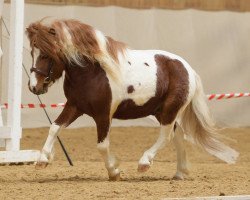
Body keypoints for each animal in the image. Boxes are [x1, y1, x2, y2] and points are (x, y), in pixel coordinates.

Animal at [25, 19, 238, 180]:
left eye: (46, 54)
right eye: (32, 53)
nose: (34, 87)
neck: (92, 72)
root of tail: (187, 68)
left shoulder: (103, 114)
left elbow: (102, 145)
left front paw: (114, 171)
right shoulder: (74, 107)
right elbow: (54, 127)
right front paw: (42, 160)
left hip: (169, 109)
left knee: (167, 135)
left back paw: (144, 163)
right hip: (161, 111)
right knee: (178, 135)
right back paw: (179, 173)